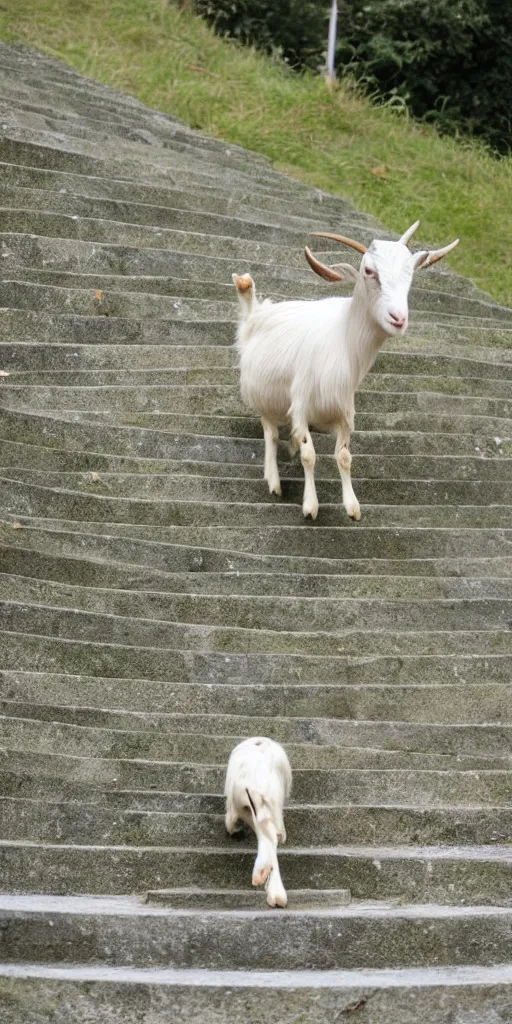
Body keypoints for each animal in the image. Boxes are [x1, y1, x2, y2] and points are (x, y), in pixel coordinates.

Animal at [224, 737, 292, 913]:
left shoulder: (238, 806)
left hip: (249, 803)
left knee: (267, 834)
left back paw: (263, 877)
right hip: (269, 805)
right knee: (272, 835)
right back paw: (277, 892)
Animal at [232, 219, 460, 516]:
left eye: (410, 275)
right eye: (369, 271)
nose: (398, 318)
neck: (341, 338)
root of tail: (255, 314)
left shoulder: (344, 410)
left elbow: (344, 456)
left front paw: (352, 506)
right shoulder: (301, 402)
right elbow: (309, 455)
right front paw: (310, 506)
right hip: (263, 399)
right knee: (270, 433)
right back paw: (273, 480)